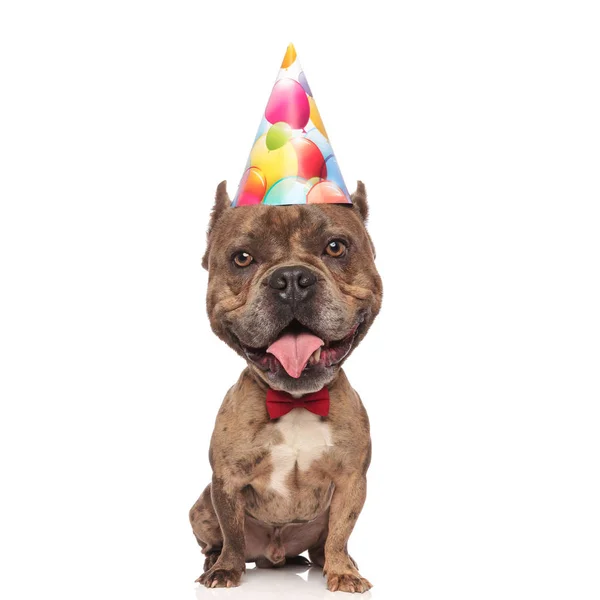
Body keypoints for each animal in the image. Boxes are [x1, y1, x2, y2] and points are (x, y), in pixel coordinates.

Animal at [190, 179, 382, 592]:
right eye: (242, 258)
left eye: (336, 247)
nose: (292, 278)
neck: (296, 400)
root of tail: (274, 554)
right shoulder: (225, 482)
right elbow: (232, 532)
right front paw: (226, 569)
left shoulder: (351, 482)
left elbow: (341, 531)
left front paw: (343, 571)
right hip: (199, 506)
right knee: (216, 538)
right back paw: (213, 561)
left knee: (325, 543)